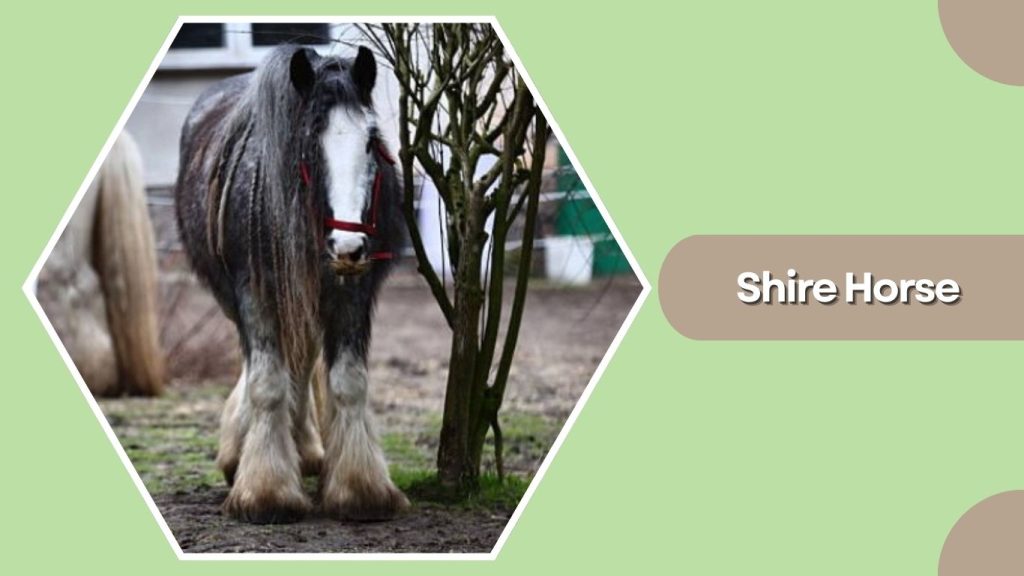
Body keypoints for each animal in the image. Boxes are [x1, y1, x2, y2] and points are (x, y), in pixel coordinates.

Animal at [174, 45, 407, 523]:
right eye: (308, 143)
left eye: (372, 141)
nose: (349, 246)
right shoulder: (255, 291)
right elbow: (267, 382)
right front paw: (266, 492)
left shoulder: (350, 292)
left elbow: (348, 381)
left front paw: (359, 489)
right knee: (262, 365)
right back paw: (242, 452)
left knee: (301, 362)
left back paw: (305, 452)